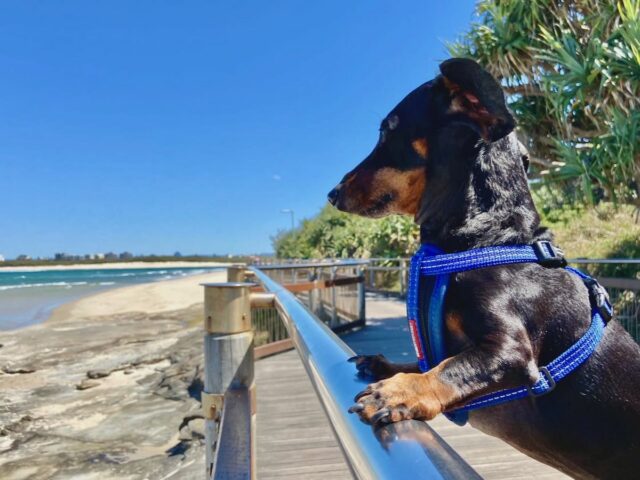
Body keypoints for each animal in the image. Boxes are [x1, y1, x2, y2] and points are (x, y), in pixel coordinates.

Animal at [328, 58, 640, 478]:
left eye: (387, 130)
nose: (332, 194)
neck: (489, 239)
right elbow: (431, 360)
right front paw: (386, 368)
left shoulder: (510, 351)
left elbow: (448, 369)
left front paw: (398, 390)